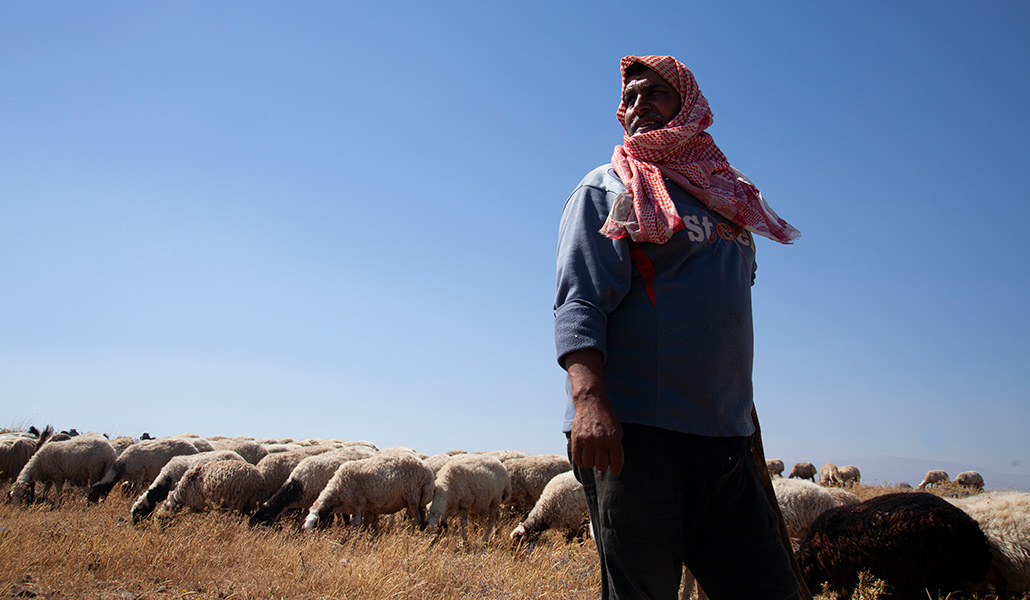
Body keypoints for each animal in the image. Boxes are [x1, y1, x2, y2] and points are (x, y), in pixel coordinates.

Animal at [302, 450, 436, 531]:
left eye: (316, 526)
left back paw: (413, 533)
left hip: (412, 497)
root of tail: (427, 471)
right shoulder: (362, 506)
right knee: (421, 516)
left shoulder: (358, 504)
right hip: (418, 500)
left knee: (416, 518)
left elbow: (356, 524)